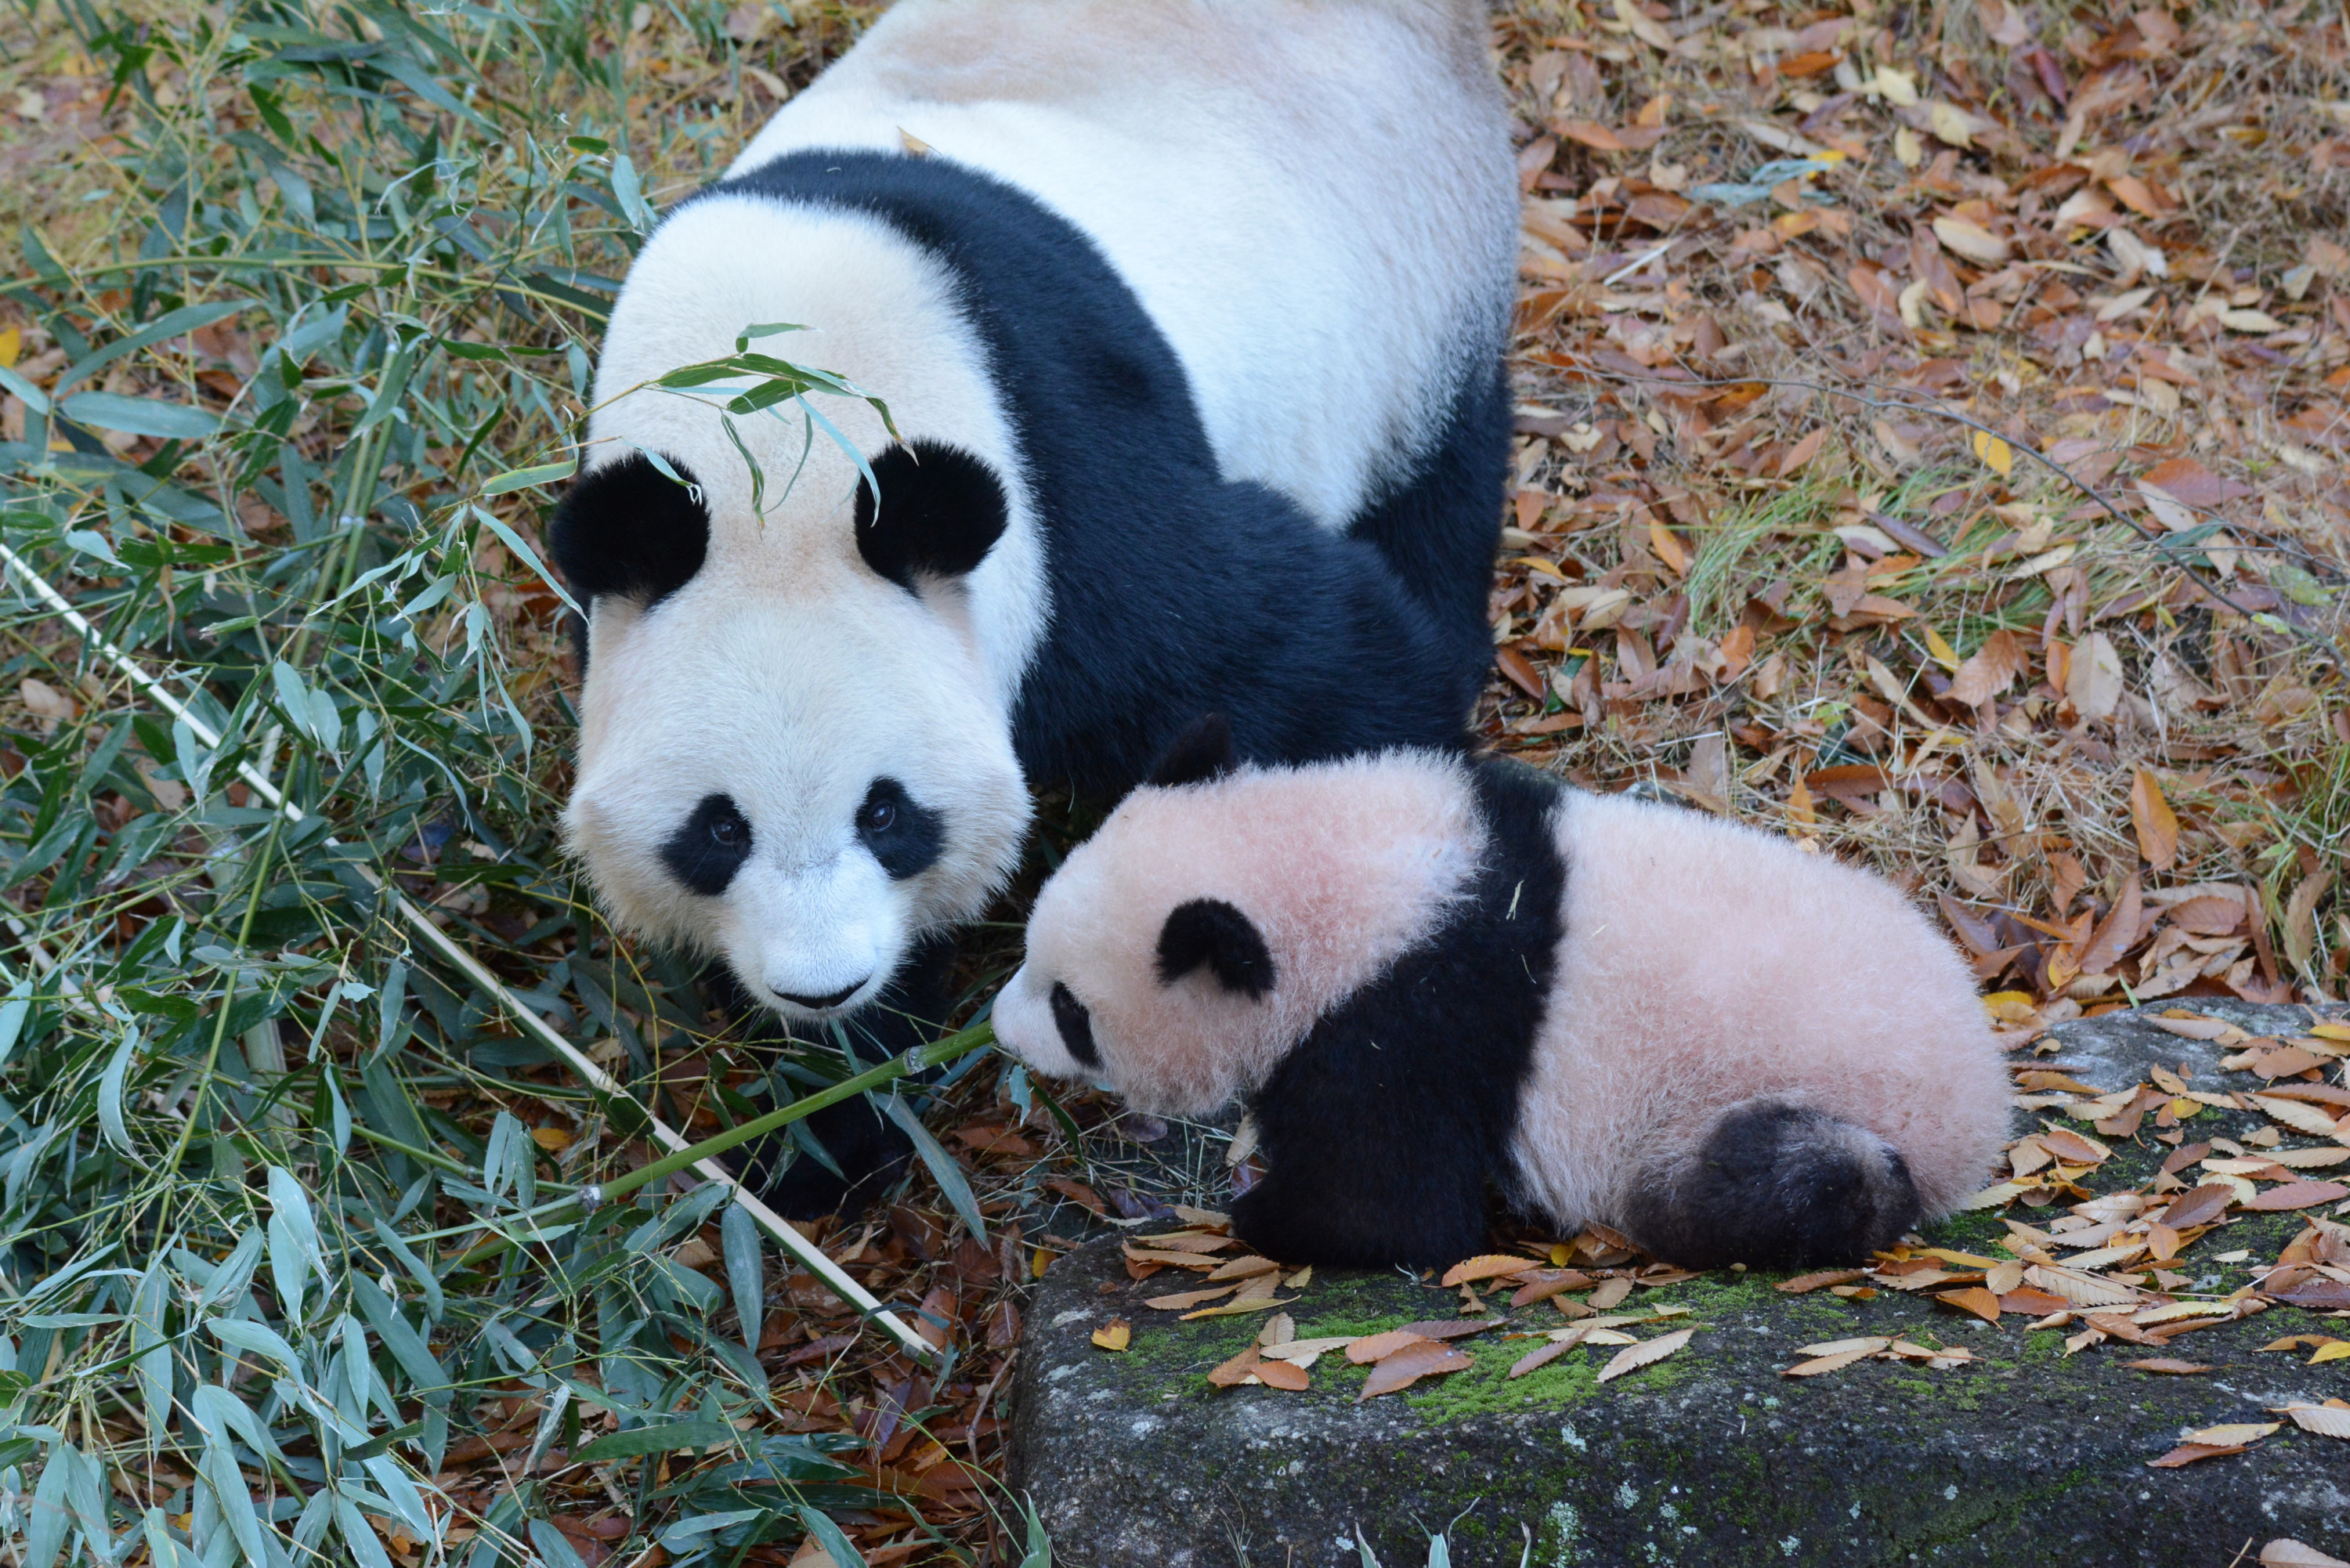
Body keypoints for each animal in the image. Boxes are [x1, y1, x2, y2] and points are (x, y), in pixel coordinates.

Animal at [543, 0, 1513, 1212]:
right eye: (718, 829)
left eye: (887, 812)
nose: (825, 984)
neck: (776, 437)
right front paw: (823, 1126)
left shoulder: (1071, 495)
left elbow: (1310, 664)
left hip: (1417, 294)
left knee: (1435, 497)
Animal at [987, 724, 2002, 1278]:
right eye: (1029, 954)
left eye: (1073, 1010)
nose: (999, 1028)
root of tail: (1986, 1108)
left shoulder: (1416, 1019)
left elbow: (1392, 1208)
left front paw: (1258, 1213)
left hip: (1812, 1105)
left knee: (1771, 1180)